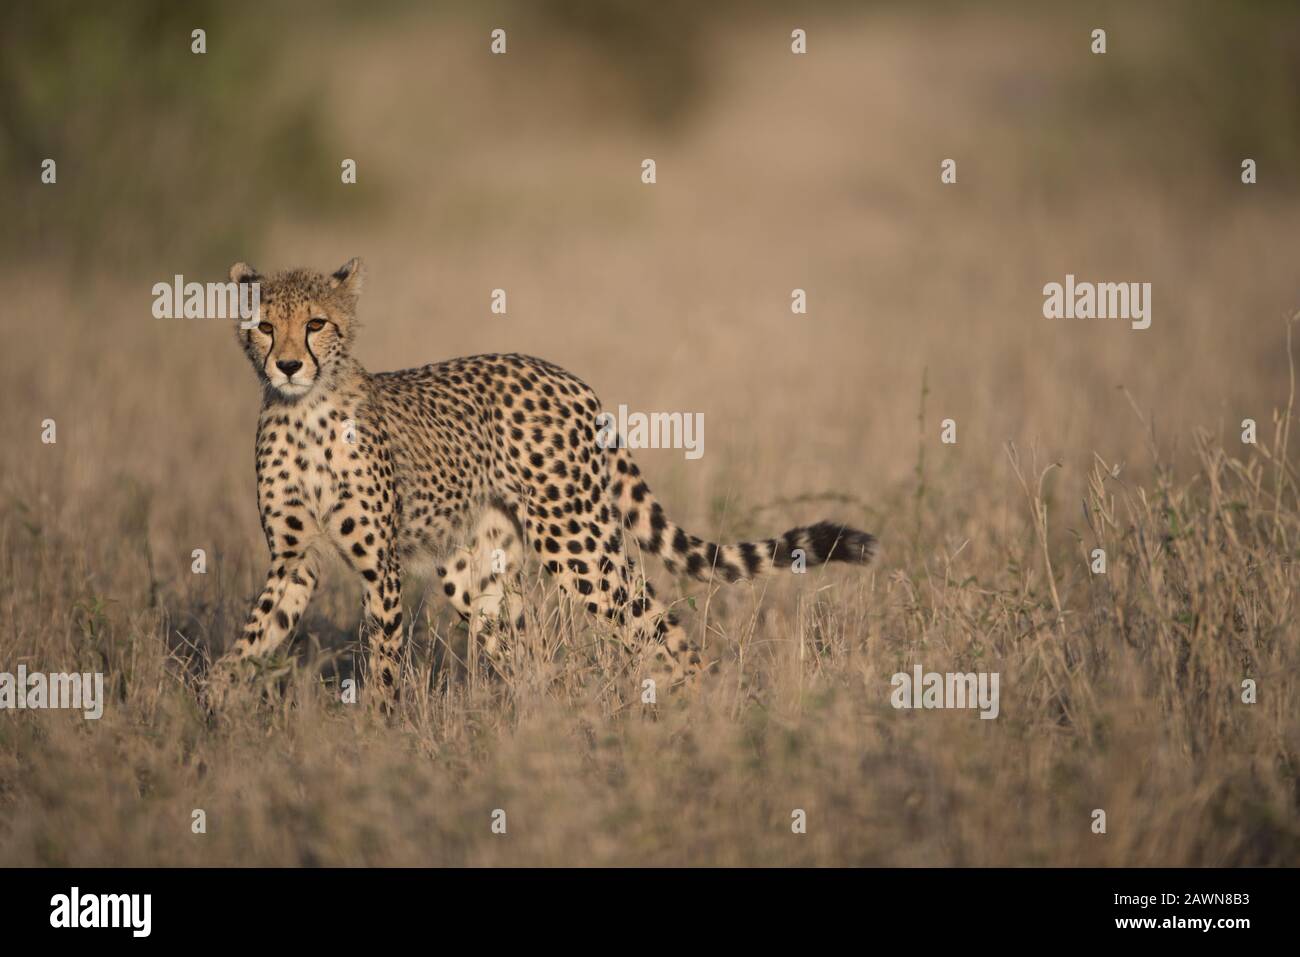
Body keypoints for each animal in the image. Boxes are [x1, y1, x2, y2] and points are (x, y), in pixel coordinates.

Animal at [218, 257, 878, 707]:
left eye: (316, 323)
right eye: (264, 326)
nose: (287, 365)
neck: (303, 411)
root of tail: (565, 376)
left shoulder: (380, 566)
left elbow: (381, 660)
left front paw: (377, 735)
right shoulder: (295, 560)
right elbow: (252, 638)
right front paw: (212, 704)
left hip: (576, 537)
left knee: (660, 630)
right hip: (477, 568)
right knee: (529, 650)